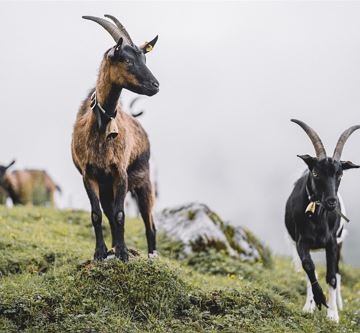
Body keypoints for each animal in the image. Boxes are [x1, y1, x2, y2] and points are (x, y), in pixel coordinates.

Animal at [71, 14, 159, 260]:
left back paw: (152, 254)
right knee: (109, 214)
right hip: (107, 188)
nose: (155, 85)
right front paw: (100, 252)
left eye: (144, 59)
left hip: (143, 180)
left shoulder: (120, 173)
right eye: (126, 60)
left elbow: (120, 214)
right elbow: (97, 215)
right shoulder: (90, 175)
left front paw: (122, 252)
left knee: (150, 223)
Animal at [286, 118, 358, 322]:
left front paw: (333, 315)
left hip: (340, 242)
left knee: (338, 272)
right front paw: (317, 300)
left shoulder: (332, 242)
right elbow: (309, 267)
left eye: (340, 174)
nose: (332, 202)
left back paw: (339, 304)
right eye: (316, 173)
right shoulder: (301, 242)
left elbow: (332, 276)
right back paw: (310, 305)